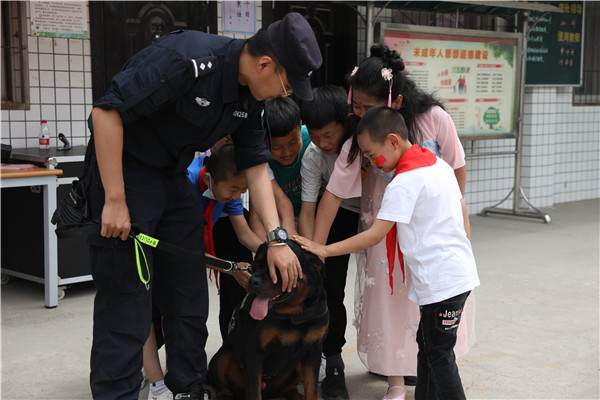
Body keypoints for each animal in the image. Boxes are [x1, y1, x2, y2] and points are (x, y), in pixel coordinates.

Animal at [206, 239, 328, 398]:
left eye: (277, 267)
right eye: (254, 266)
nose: (253, 281)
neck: (293, 314)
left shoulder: (313, 350)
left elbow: (311, 389)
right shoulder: (254, 354)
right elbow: (254, 393)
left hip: (296, 366)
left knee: (289, 387)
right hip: (224, 356)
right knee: (224, 388)